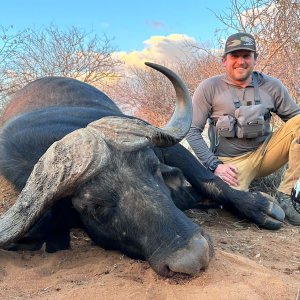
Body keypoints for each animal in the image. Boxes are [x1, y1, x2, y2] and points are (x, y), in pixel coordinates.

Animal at [0, 62, 284, 276]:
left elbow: (210, 181)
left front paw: (261, 207)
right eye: (94, 206)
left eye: (154, 169)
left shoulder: (170, 148)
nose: (194, 256)